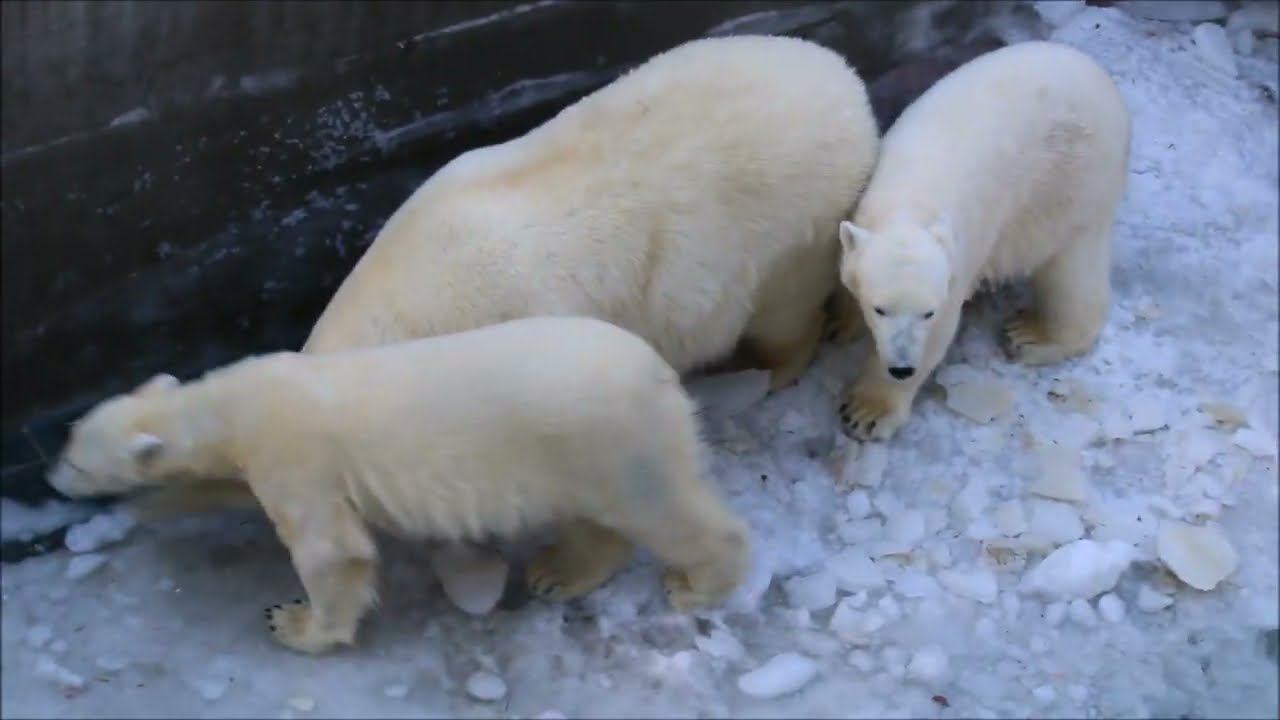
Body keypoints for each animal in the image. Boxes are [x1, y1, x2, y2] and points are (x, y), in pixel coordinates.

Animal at [47, 316, 747, 653]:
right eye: (68, 440)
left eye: (76, 462)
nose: (53, 479)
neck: (229, 406)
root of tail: (658, 370)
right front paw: (151, 508)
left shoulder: (294, 453)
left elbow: (333, 551)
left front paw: (294, 624)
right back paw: (558, 571)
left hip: (610, 438)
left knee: (665, 510)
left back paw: (698, 583)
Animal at [839, 43, 1131, 443]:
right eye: (880, 308)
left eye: (927, 312)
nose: (901, 368)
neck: (909, 202)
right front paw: (839, 319)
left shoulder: (958, 261)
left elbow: (941, 332)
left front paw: (867, 412)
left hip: (1074, 181)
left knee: (1070, 269)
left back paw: (1033, 335)